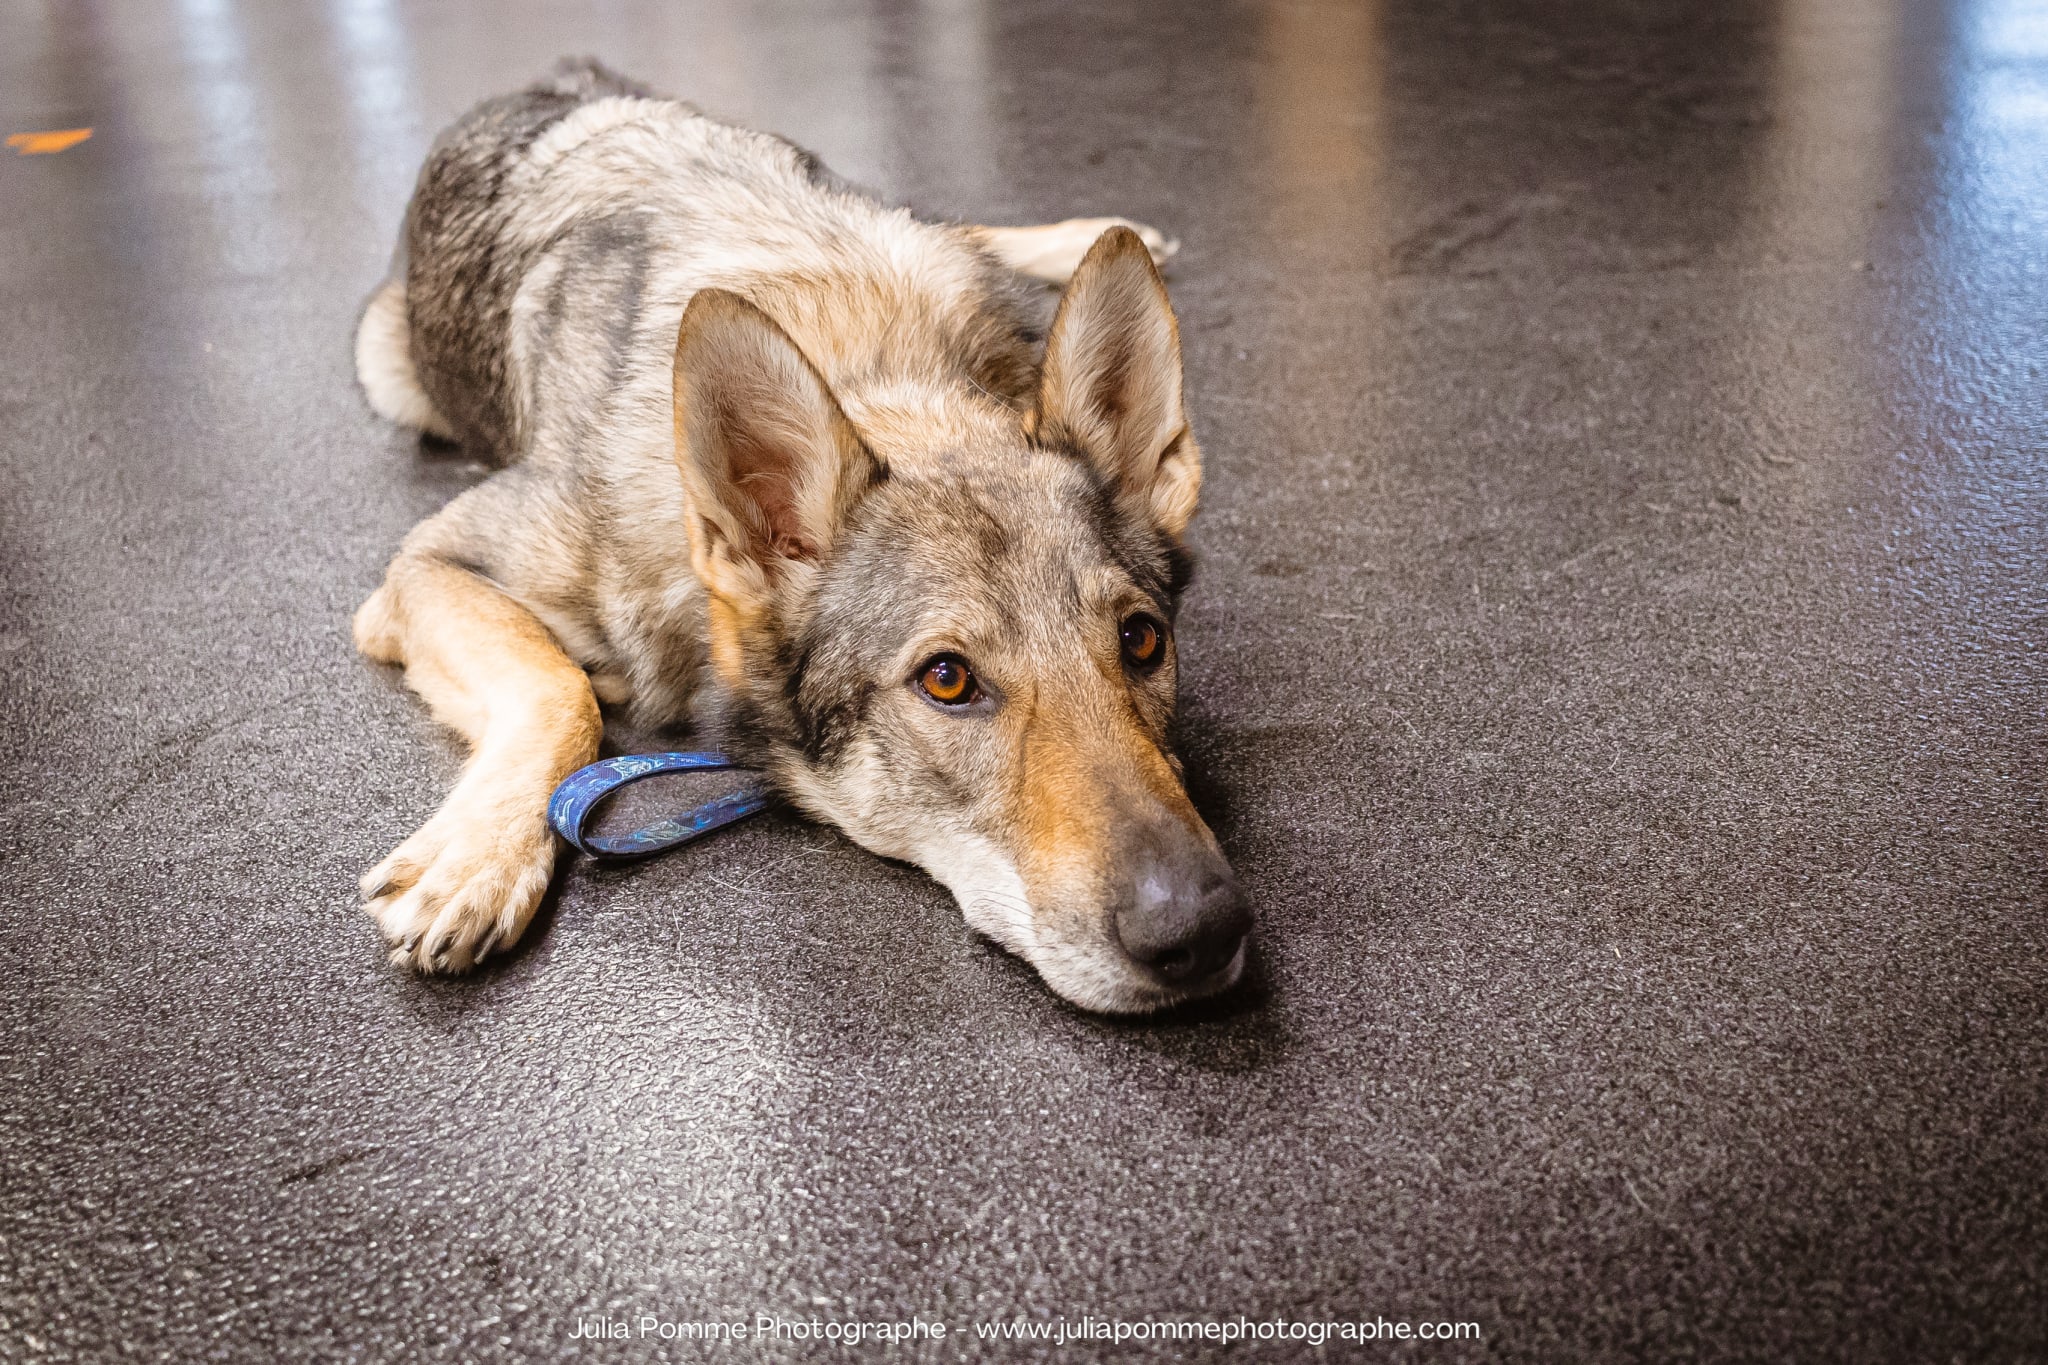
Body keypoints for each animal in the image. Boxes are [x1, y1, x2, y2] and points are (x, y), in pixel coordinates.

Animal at [352, 61, 1245, 1015]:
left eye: (1141, 639)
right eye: (948, 680)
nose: (1201, 929)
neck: (878, 364)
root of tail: (562, 78)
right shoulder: (426, 561)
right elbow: (558, 685)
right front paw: (479, 858)